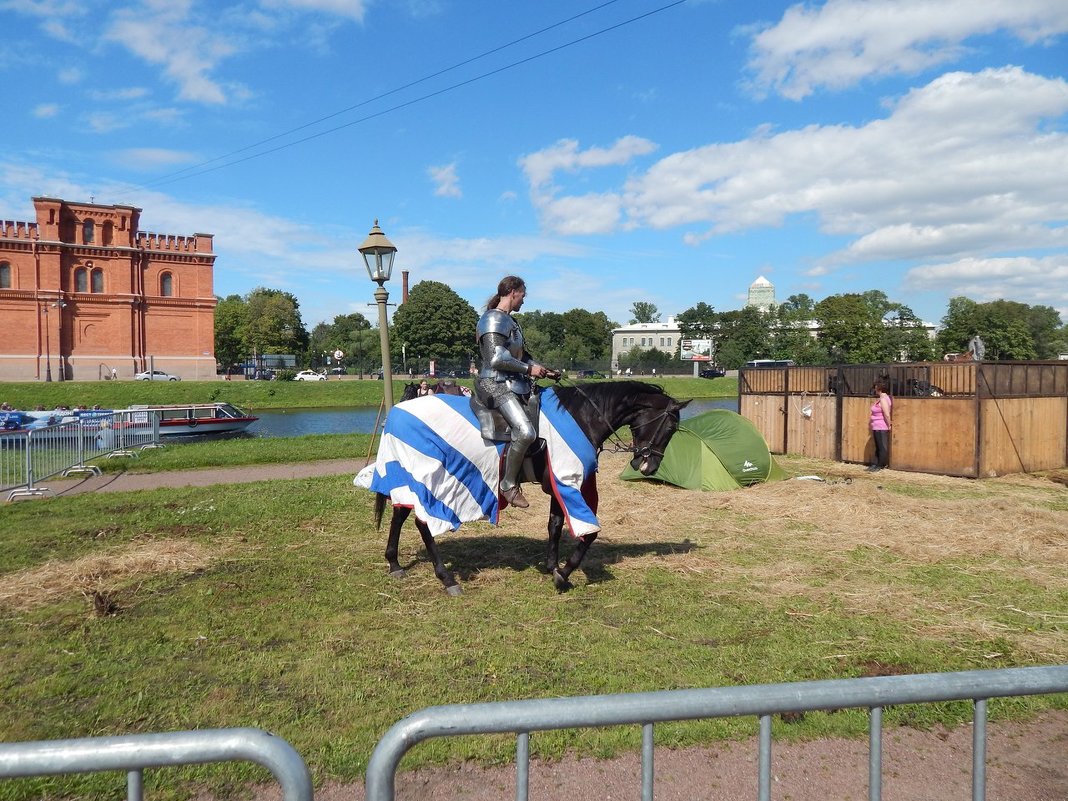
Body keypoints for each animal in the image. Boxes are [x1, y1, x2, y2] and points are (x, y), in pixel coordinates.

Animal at [371, 382, 687, 598]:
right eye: (670, 427)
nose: (649, 466)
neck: (582, 416)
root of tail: (398, 412)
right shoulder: (567, 481)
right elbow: (589, 533)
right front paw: (563, 574)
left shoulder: (558, 486)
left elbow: (555, 525)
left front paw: (551, 566)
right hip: (431, 479)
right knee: (422, 522)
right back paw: (447, 578)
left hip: (408, 476)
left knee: (400, 514)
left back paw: (394, 563)